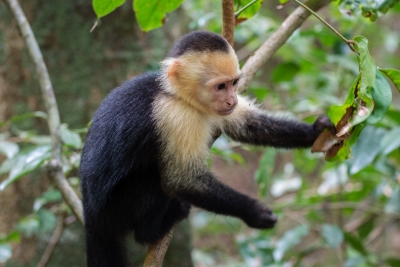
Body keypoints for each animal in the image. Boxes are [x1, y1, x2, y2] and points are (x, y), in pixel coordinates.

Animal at [79, 30, 336, 266]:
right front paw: (253, 212)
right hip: (116, 210)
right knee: (151, 178)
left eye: (234, 83)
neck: (176, 94)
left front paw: (316, 131)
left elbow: (247, 126)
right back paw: (152, 230)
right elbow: (181, 180)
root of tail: (91, 219)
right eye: (220, 86)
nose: (232, 100)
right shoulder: (175, 115)